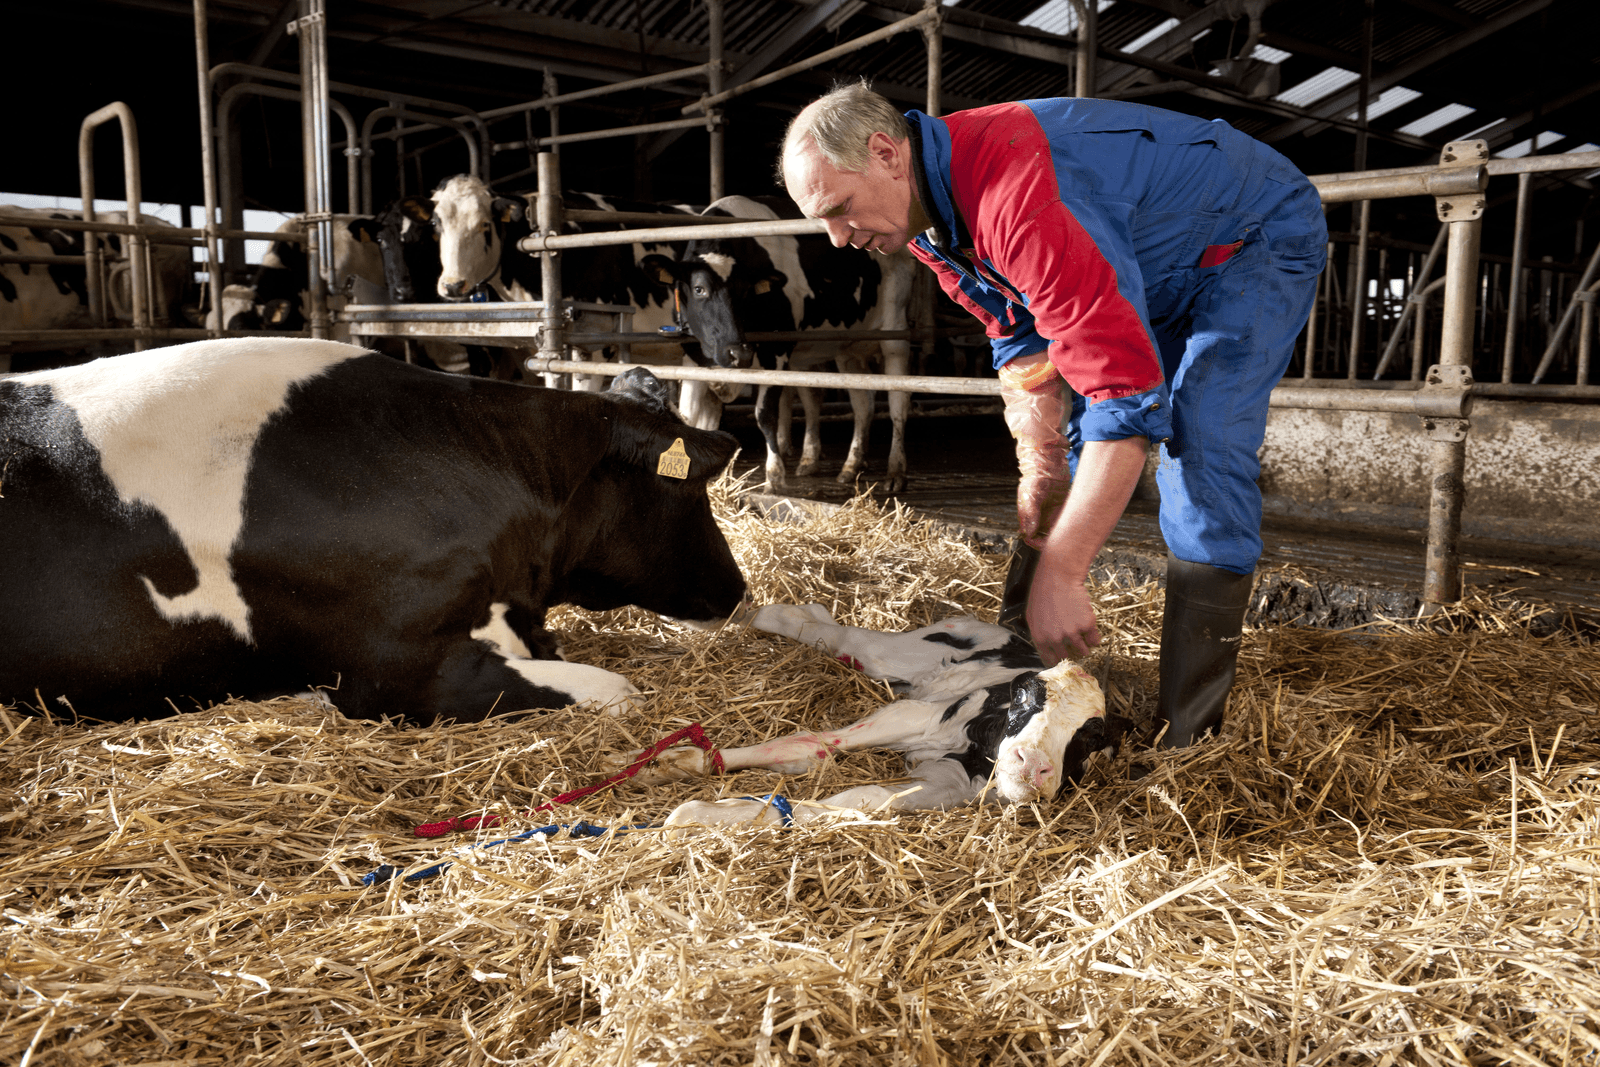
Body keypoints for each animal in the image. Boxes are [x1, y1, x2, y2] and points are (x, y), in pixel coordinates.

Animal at [605, 603, 1124, 827]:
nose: (1031, 765)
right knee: (802, 620)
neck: (978, 748)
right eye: (1024, 696)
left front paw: (705, 811)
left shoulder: (945, 786)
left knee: (820, 624)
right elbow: (805, 742)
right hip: (894, 654)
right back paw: (726, 615)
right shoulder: (914, 714)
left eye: (1088, 738)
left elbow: (860, 798)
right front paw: (649, 764)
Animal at [644, 195, 918, 492]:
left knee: (898, 401)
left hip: (895, 330)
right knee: (862, 404)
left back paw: (895, 471)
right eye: (699, 289)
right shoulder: (693, 359)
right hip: (849, 349)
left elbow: (765, 415)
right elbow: (689, 418)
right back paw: (849, 466)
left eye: (746, 291)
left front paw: (774, 477)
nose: (738, 353)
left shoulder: (776, 351)